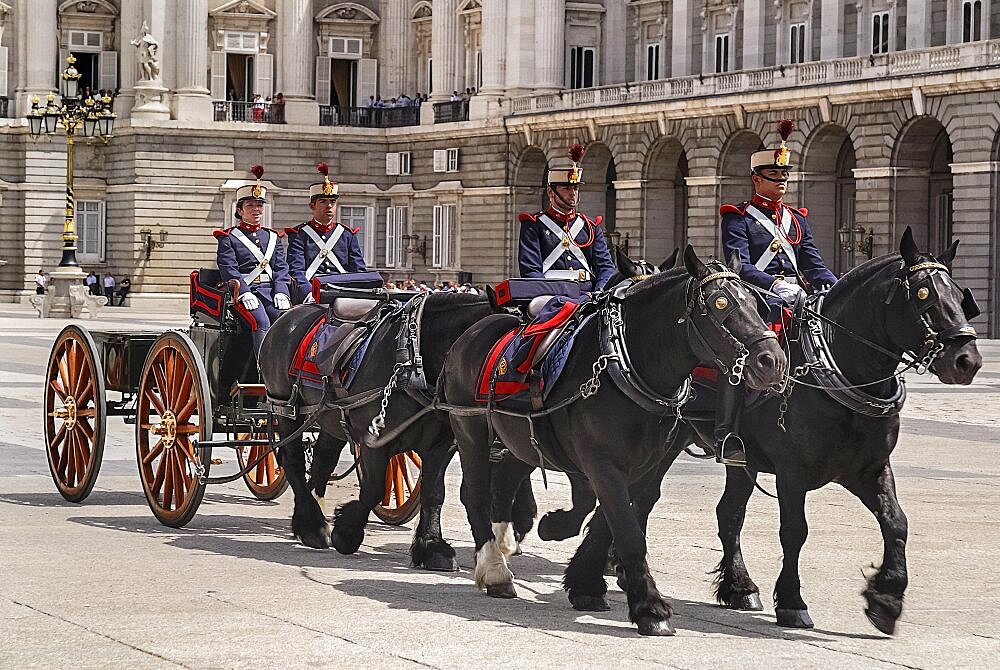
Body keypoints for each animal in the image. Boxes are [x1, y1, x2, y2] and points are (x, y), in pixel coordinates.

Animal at [260, 292, 540, 568]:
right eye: (512, 354)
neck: (416, 362)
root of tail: (290, 314)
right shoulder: (374, 440)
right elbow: (374, 488)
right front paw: (347, 532)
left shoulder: (442, 445)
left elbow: (433, 493)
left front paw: (431, 546)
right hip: (287, 410)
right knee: (293, 461)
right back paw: (312, 525)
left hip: (331, 418)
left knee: (322, 461)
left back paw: (308, 520)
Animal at [442, 247, 784, 636]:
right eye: (721, 303)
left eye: (757, 304)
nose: (772, 361)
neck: (627, 364)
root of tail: (474, 329)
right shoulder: (602, 463)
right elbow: (625, 527)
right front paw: (650, 606)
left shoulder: (644, 464)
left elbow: (614, 520)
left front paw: (587, 583)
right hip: (469, 430)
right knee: (476, 494)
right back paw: (494, 568)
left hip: (519, 440)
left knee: (504, 484)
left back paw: (505, 546)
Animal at [536, 228, 980, 636]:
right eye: (923, 295)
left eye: (959, 296)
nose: (968, 360)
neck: (840, 369)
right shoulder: (792, 472)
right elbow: (795, 532)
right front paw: (794, 602)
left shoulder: (868, 469)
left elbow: (896, 523)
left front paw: (886, 600)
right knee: (653, 505)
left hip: (728, 458)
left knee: (721, 513)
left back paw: (735, 586)